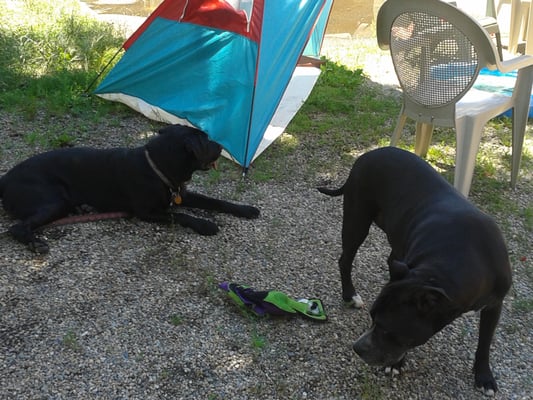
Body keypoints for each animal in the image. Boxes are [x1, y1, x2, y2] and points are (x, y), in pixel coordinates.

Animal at [0, 124, 260, 253]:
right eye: (205, 141)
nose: (221, 146)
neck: (156, 166)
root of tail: (4, 180)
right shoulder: (147, 212)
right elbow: (179, 216)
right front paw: (205, 224)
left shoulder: (180, 194)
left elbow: (215, 201)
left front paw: (246, 210)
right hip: (54, 202)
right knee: (17, 228)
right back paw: (35, 243)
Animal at [318, 147, 512, 394]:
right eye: (372, 318)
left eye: (387, 330)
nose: (357, 347)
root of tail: (370, 153)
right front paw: (397, 364)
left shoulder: (494, 305)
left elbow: (485, 342)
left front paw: (484, 376)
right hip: (357, 220)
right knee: (345, 259)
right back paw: (350, 295)